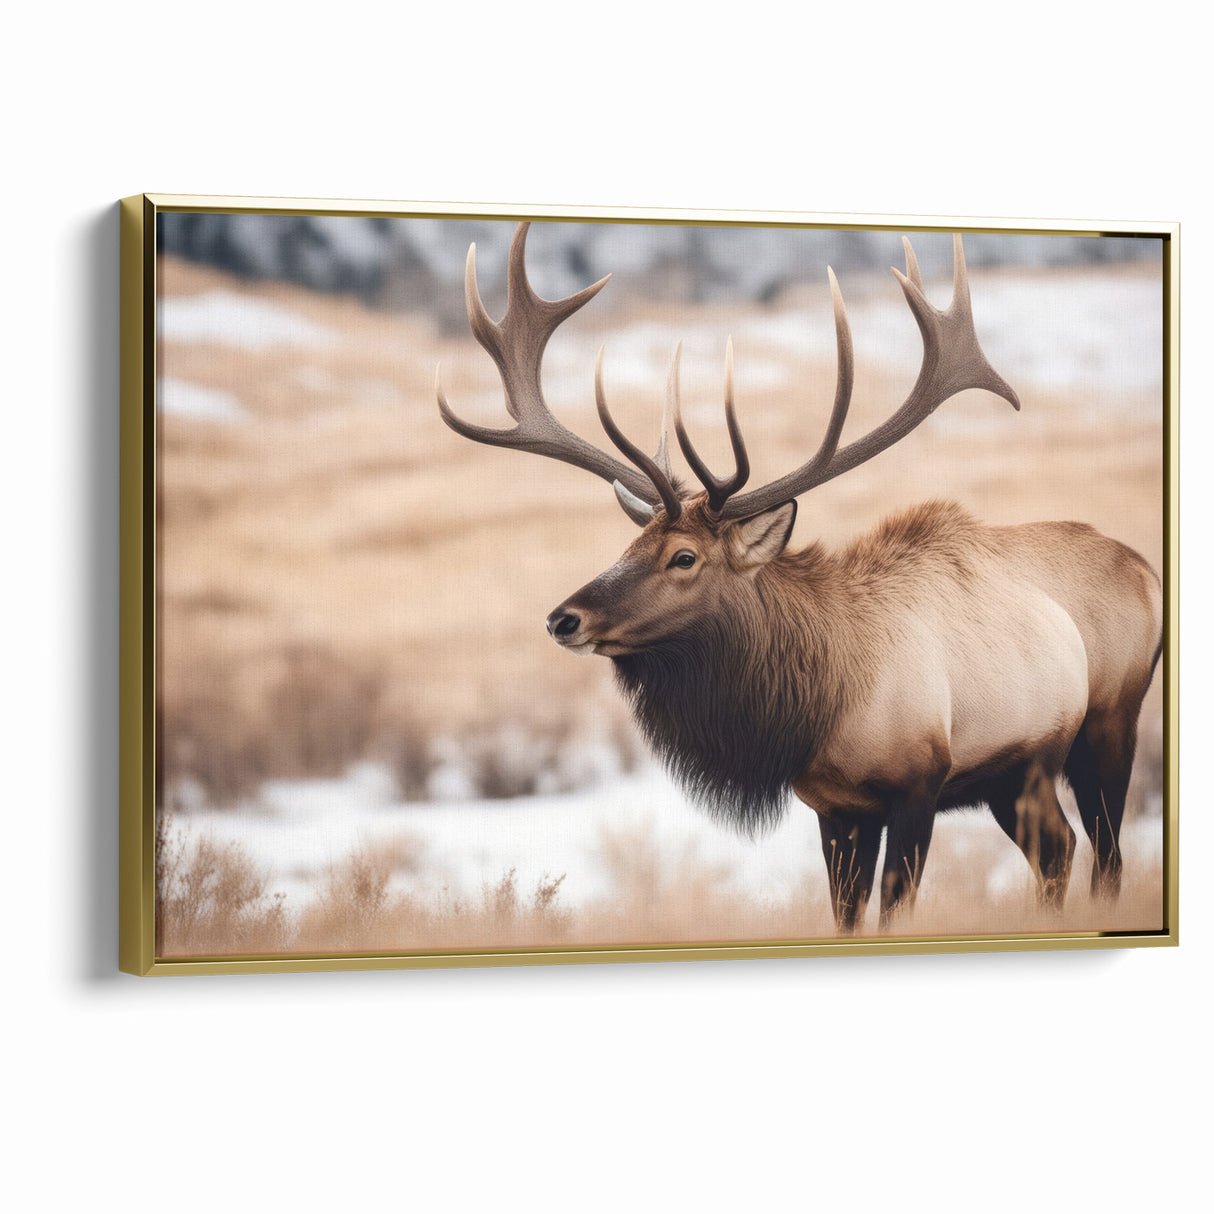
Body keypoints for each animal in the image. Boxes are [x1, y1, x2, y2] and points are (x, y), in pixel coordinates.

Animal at [436, 222, 1162, 931]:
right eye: (631, 541)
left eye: (684, 557)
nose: (564, 618)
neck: (822, 709)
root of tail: (1147, 569)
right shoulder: (835, 807)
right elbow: (845, 915)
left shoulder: (920, 782)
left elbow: (895, 908)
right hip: (1014, 776)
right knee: (1060, 852)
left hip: (1106, 723)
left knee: (1106, 851)